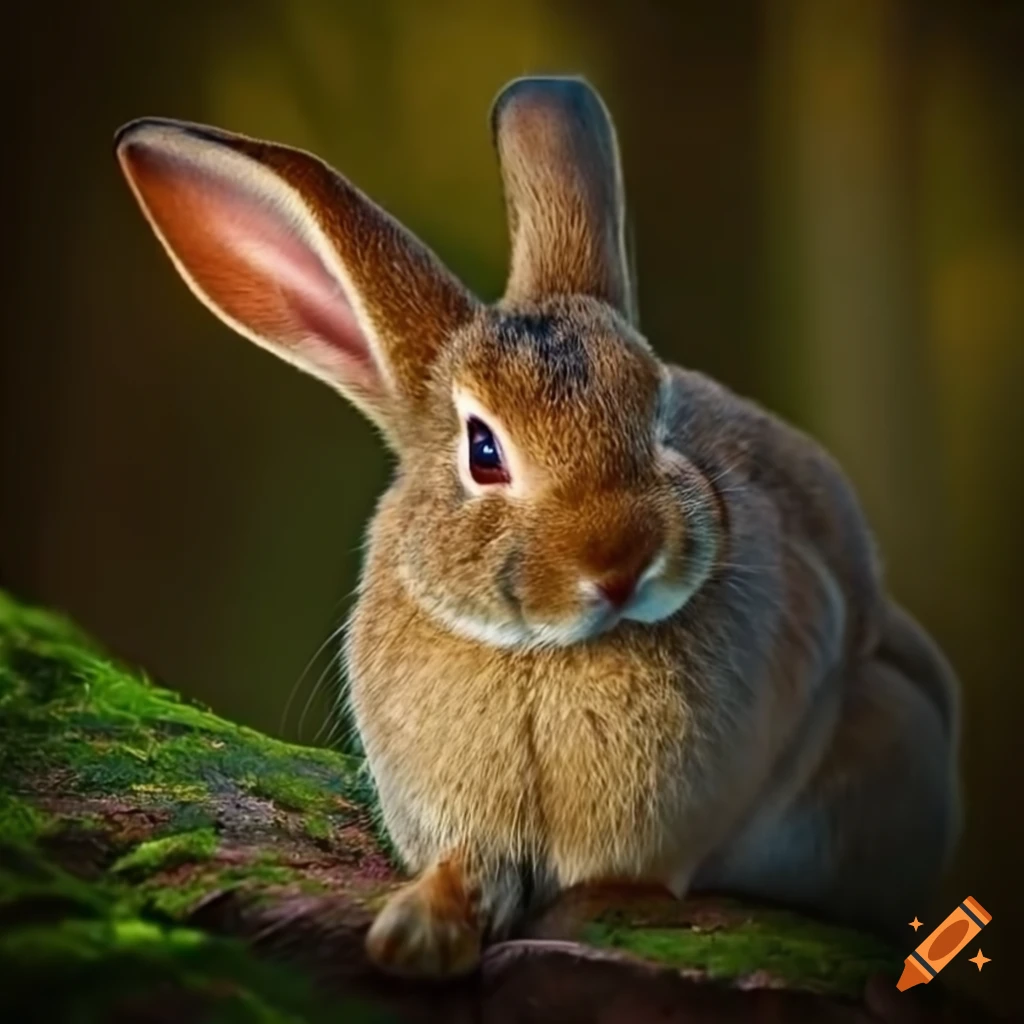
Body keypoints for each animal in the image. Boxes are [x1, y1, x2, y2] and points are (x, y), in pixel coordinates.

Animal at [115, 75, 961, 978]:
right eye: (484, 450)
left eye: (659, 414)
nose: (622, 563)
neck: (543, 650)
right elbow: (467, 872)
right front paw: (417, 932)